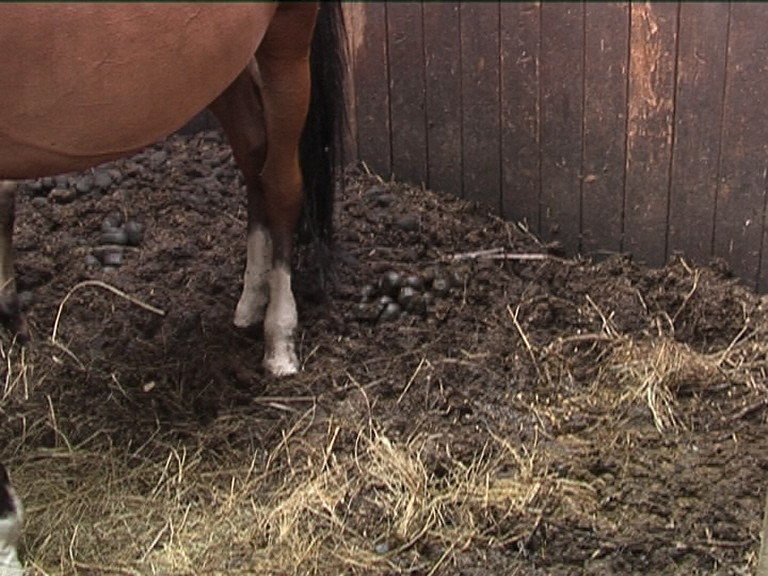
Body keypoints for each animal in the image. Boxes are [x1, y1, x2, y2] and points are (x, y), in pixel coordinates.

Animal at [0, 3, 344, 378]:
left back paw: (280, 340)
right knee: (254, 157)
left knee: (281, 185)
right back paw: (252, 299)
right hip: (225, 61)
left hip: (286, 36)